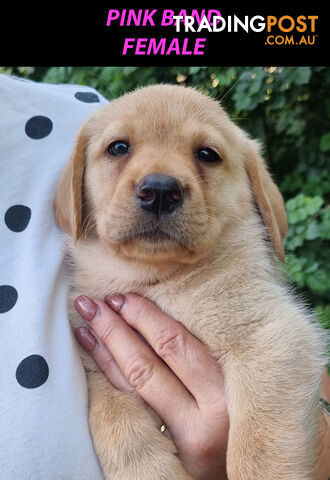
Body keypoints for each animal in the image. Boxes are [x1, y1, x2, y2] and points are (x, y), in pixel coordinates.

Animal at [53, 84, 324, 478]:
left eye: (207, 154)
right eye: (118, 147)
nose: (159, 191)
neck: (154, 281)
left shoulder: (272, 337)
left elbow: (257, 447)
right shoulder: (95, 362)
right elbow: (111, 417)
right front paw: (150, 468)